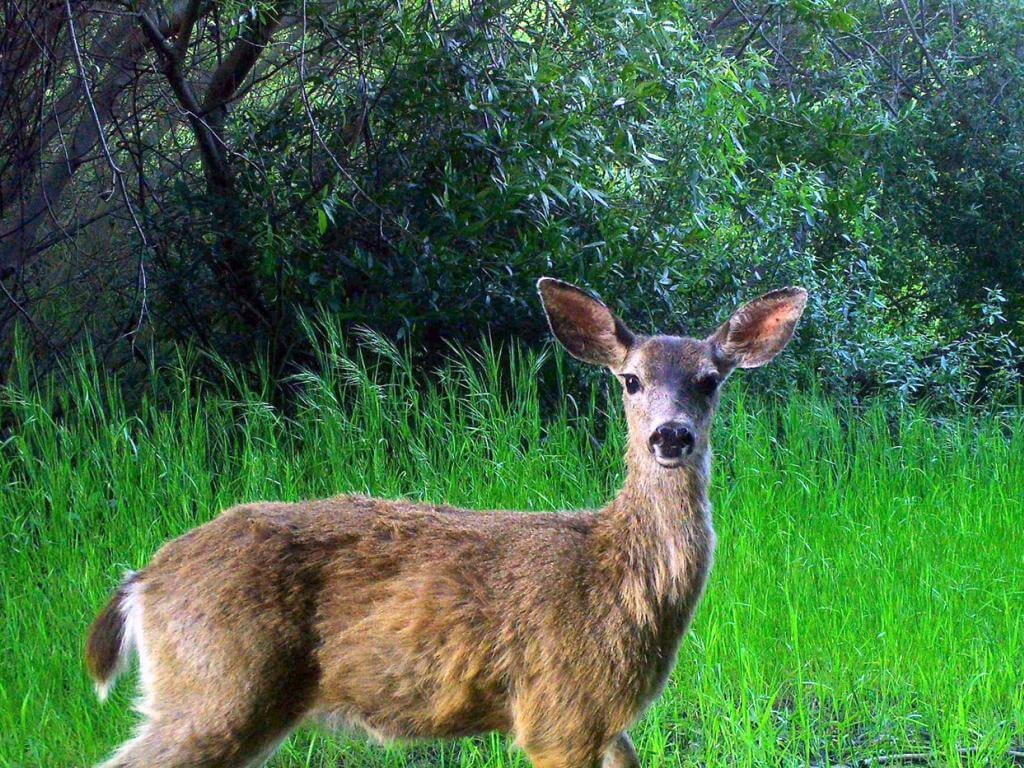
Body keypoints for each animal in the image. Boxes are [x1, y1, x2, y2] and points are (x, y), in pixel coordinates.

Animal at [86, 278, 806, 768]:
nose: (670, 436)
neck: (619, 576)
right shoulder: (557, 711)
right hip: (217, 687)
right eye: (629, 380)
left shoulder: (607, 723)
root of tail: (143, 580)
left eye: (710, 379)